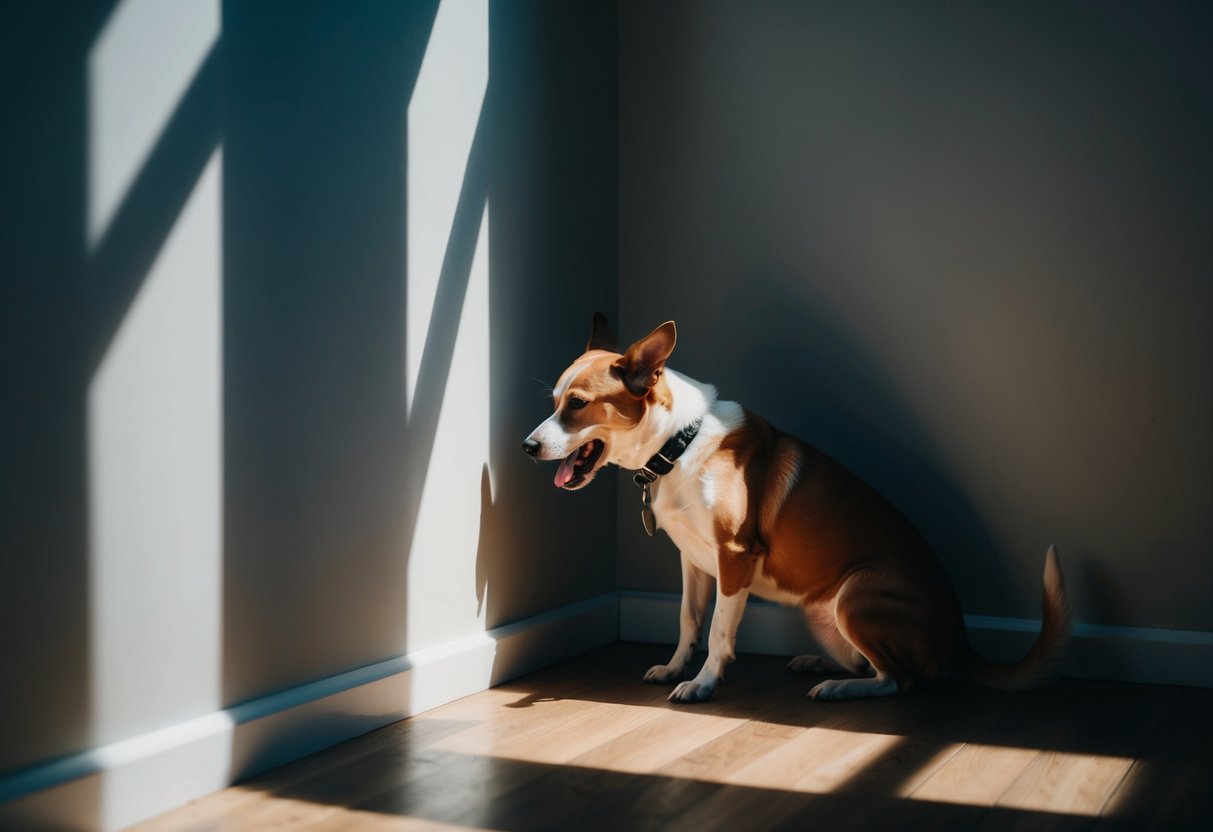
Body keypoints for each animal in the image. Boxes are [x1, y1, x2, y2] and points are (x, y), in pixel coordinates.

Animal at [521, 312, 1072, 703]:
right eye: (553, 401)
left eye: (577, 404)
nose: (527, 446)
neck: (680, 442)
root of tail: (959, 640)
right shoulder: (693, 562)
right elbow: (687, 621)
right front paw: (676, 667)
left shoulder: (733, 558)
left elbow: (719, 631)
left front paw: (703, 683)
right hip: (825, 613)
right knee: (873, 663)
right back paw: (821, 665)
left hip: (857, 594)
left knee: (901, 679)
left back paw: (840, 689)